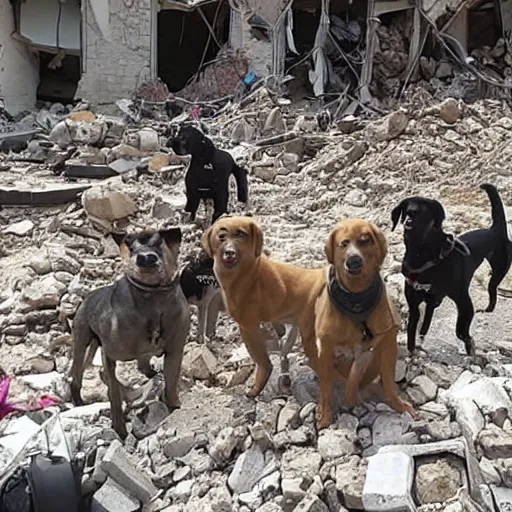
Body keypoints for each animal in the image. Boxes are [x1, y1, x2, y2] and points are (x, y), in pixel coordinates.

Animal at [70, 227, 192, 436]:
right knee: (78, 378)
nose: (145, 258)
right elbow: (113, 395)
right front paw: (119, 428)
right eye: (130, 247)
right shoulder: (109, 354)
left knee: (141, 366)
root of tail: (87, 298)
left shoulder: (175, 350)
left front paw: (173, 405)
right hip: (82, 341)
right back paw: (79, 400)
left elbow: (171, 384)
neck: (153, 300)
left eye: (159, 242)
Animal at [314, 219, 414, 428]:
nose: (353, 260)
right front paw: (325, 415)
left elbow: (389, 382)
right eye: (343, 244)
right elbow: (326, 388)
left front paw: (398, 405)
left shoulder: (388, 340)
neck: (357, 297)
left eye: (364, 240)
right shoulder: (325, 348)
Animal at [392, 184, 512, 356]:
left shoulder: (464, 302)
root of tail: (495, 229)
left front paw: (469, 345)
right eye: (406, 212)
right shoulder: (418, 305)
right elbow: (415, 331)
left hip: (499, 270)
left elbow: (460, 330)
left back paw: (489, 309)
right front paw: (414, 349)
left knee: (493, 290)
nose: (409, 218)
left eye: (422, 212)